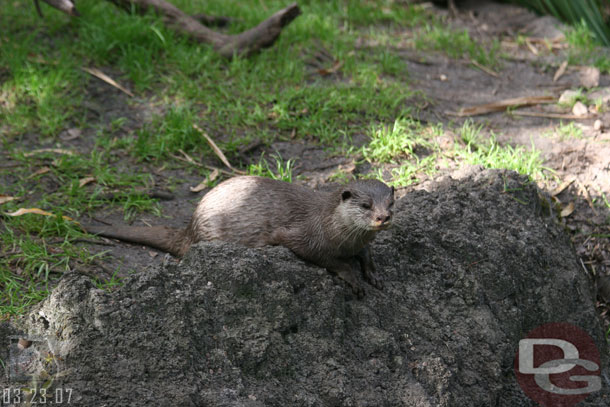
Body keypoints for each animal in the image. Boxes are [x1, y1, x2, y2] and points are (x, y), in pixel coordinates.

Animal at [83, 177, 392, 298]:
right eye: (366, 205)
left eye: (390, 203)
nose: (383, 217)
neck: (332, 224)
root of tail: (191, 225)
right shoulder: (304, 235)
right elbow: (327, 259)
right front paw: (352, 276)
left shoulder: (360, 242)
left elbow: (366, 253)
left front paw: (374, 273)